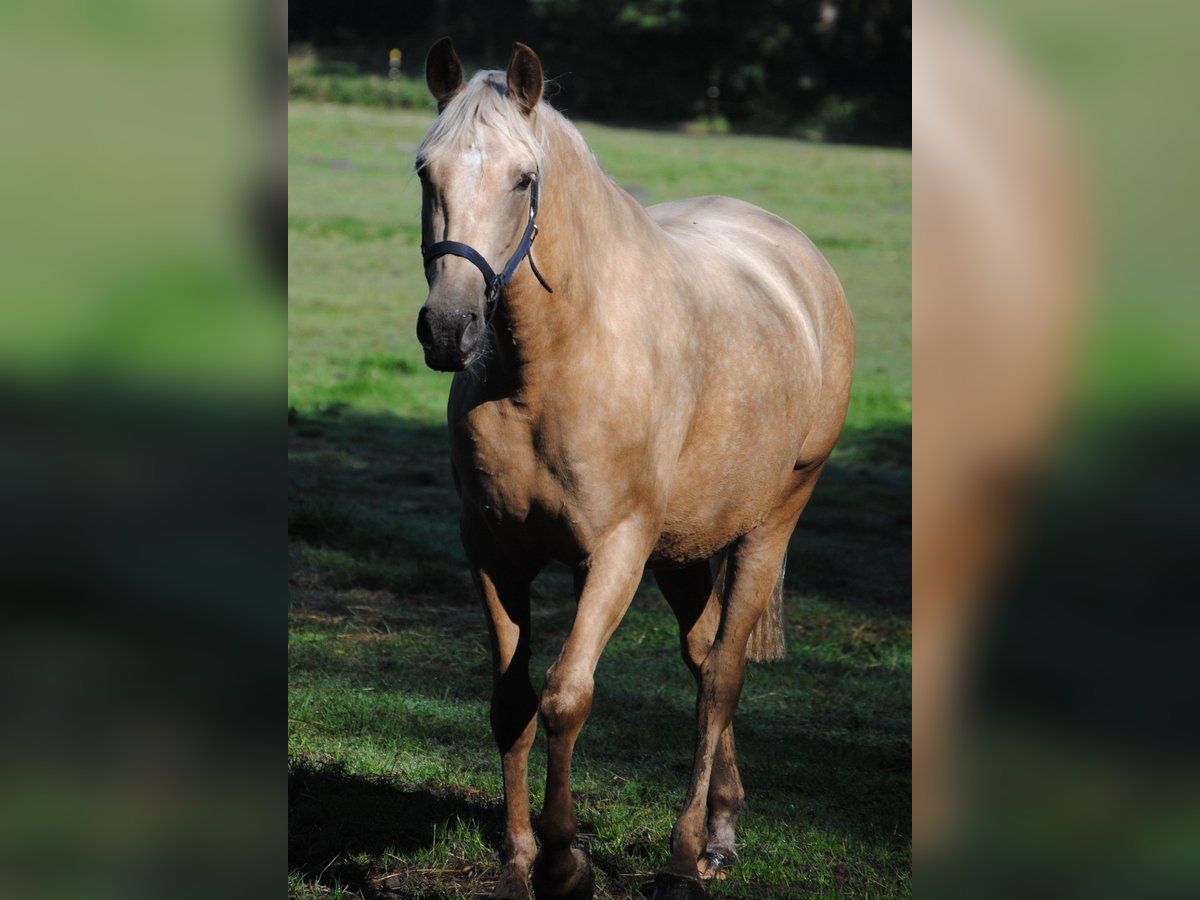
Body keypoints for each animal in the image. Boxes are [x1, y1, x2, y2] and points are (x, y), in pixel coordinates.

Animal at [412, 38, 854, 897]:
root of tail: (799, 261)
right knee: (701, 654)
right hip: (681, 550)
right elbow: (511, 702)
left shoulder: (613, 552)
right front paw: (519, 860)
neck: (548, 366)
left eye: (524, 179)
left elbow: (565, 697)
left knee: (720, 677)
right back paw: (722, 825)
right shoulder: (492, 551)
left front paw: (565, 860)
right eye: (425, 170)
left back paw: (690, 855)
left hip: (769, 523)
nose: (450, 328)